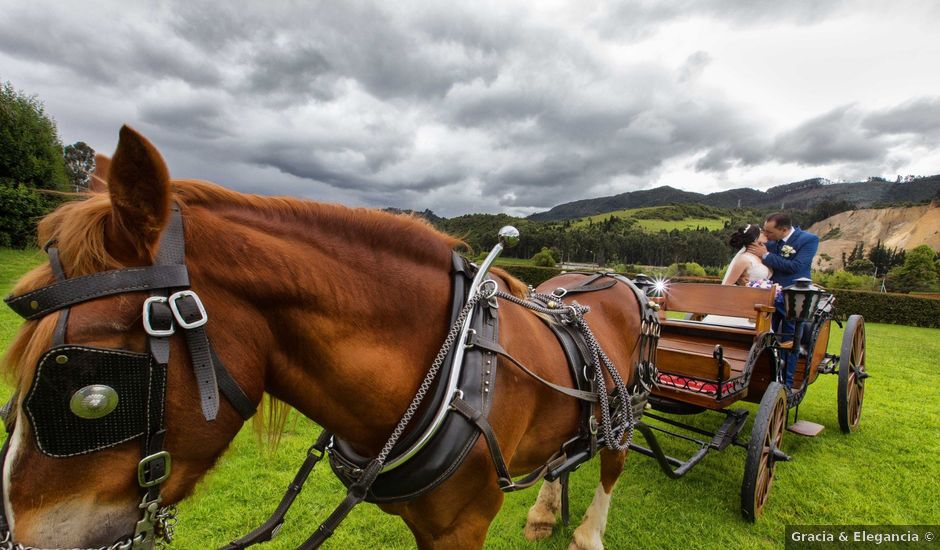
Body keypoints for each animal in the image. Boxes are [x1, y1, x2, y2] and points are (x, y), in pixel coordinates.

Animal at [1, 127, 648, 548]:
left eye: (92, 394)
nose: (16, 538)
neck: (448, 367)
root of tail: (616, 279)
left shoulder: (462, 525)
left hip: (626, 409)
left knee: (612, 462)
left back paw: (586, 534)